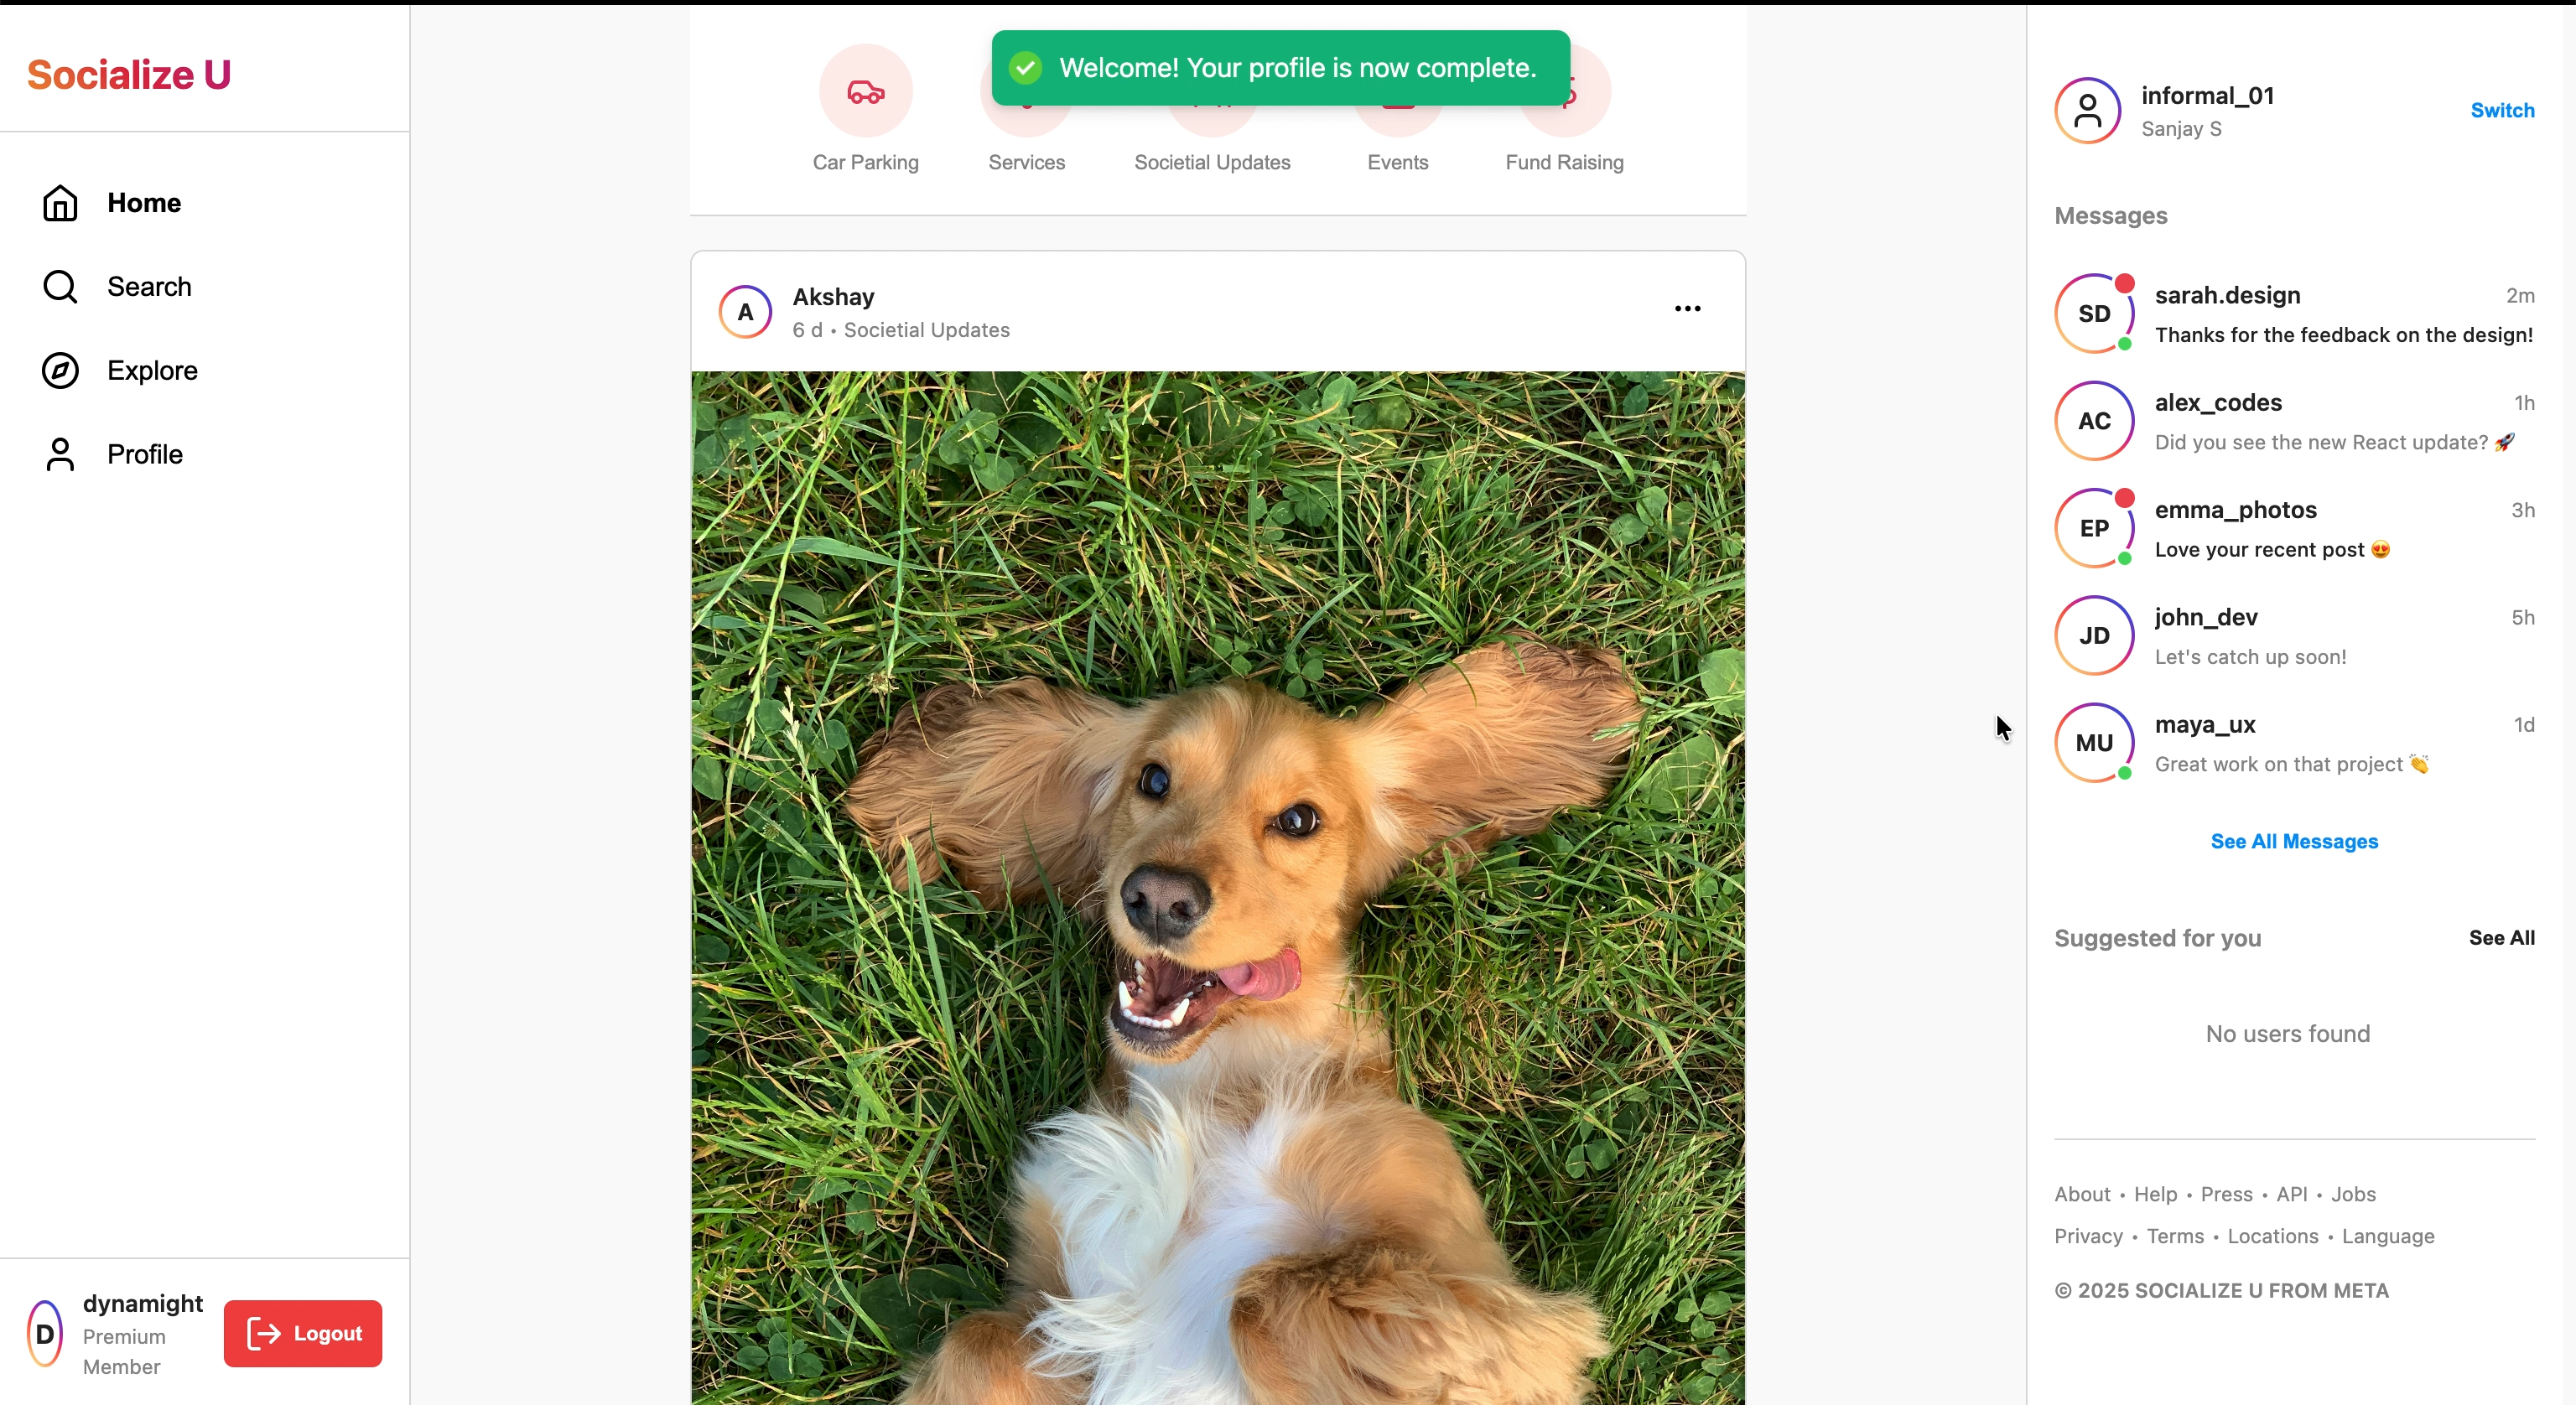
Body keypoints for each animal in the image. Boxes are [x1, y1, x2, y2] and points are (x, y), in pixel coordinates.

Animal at [846, 639, 1641, 1405]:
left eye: (1299, 820)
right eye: (1154, 780)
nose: (1159, 898)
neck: (1210, 1088)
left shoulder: (1508, 1312)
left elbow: (1264, 1294)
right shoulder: (1050, 1265)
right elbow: (978, 1341)